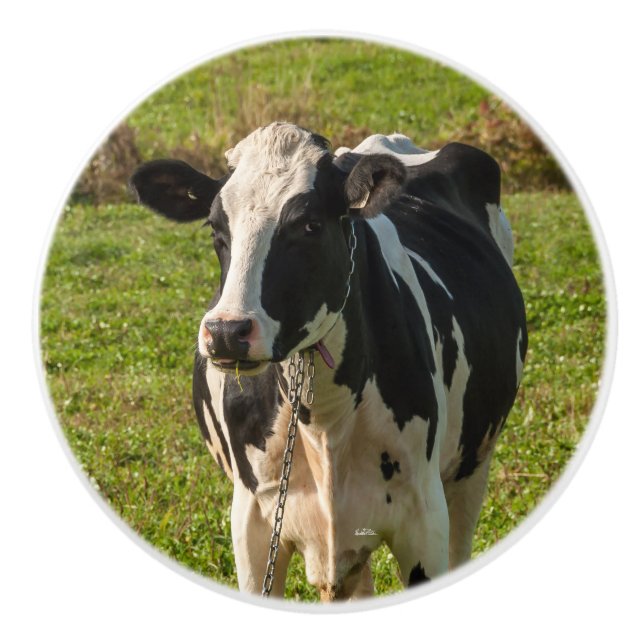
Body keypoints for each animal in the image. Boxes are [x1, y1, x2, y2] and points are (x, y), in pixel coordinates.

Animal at [130, 122, 527, 601]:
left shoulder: (423, 519)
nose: (227, 332)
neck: (323, 419)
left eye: (310, 224)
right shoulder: (252, 521)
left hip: (473, 467)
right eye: (215, 227)